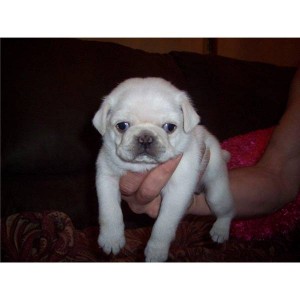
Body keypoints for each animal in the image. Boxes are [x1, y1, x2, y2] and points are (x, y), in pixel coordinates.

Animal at [92, 77, 236, 262]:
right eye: (122, 126)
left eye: (170, 127)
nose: (145, 137)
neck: (144, 166)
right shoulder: (106, 177)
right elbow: (109, 210)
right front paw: (111, 238)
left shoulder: (177, 191)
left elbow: (164, 224)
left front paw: (156, 251)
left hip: (216, 194)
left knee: (228, 211)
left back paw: (220, 230)